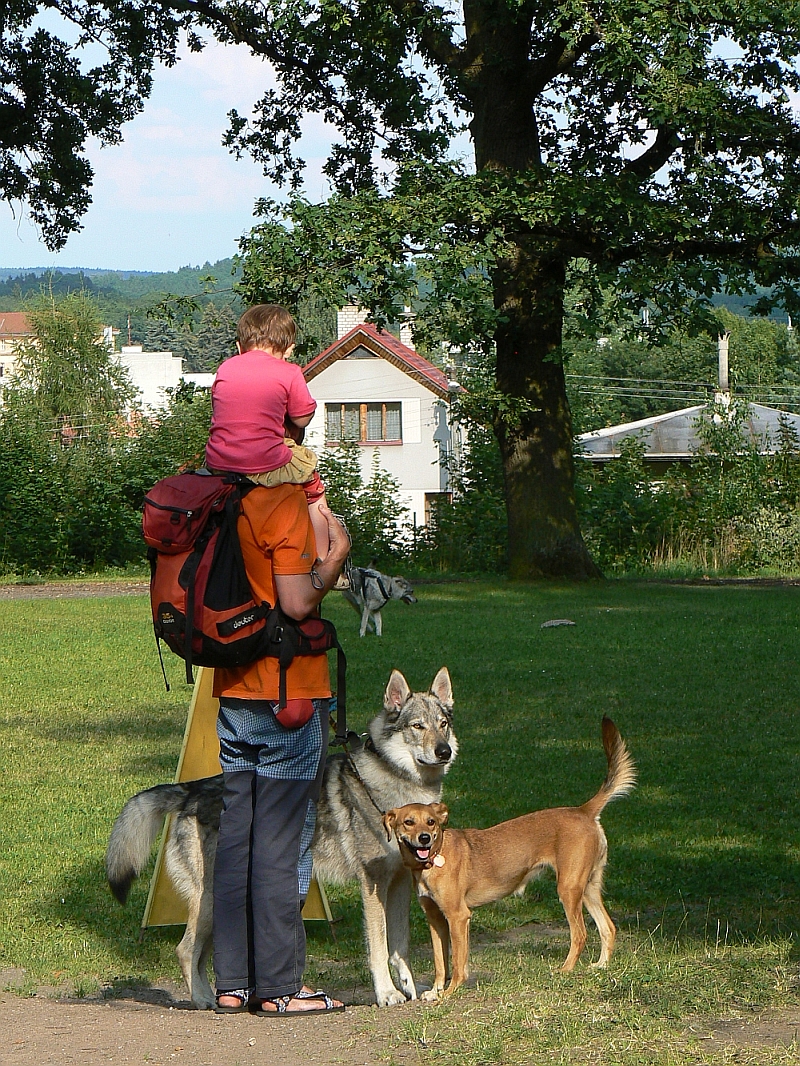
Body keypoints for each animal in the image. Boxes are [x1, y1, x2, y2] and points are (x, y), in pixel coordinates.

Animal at [105, 665, 456, 1006]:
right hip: (209, 903)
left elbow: (400, 946)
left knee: (200, 954)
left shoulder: (399, 883)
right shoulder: (372, 885)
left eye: (443, 724)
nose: (445, 751)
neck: (400, 791)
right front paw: (387, 994)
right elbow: (379, 949)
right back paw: (204, 1000)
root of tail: (191, 791)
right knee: (185, 949)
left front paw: (410, 987)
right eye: (417, 726)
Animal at [384, 716, 640, 997]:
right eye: (408, 822)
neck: (433, 860)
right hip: (588, 888)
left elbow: (458, 962)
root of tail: (583, 811)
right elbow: (440, 962)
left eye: (431, 822)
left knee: (580, 934)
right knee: (608, 928)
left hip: (569, 888)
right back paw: (601, 966)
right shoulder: (436, 919)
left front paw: (450, 992)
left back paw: (565, 970)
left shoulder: (458, 916)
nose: (424, 839)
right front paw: (436, 990)